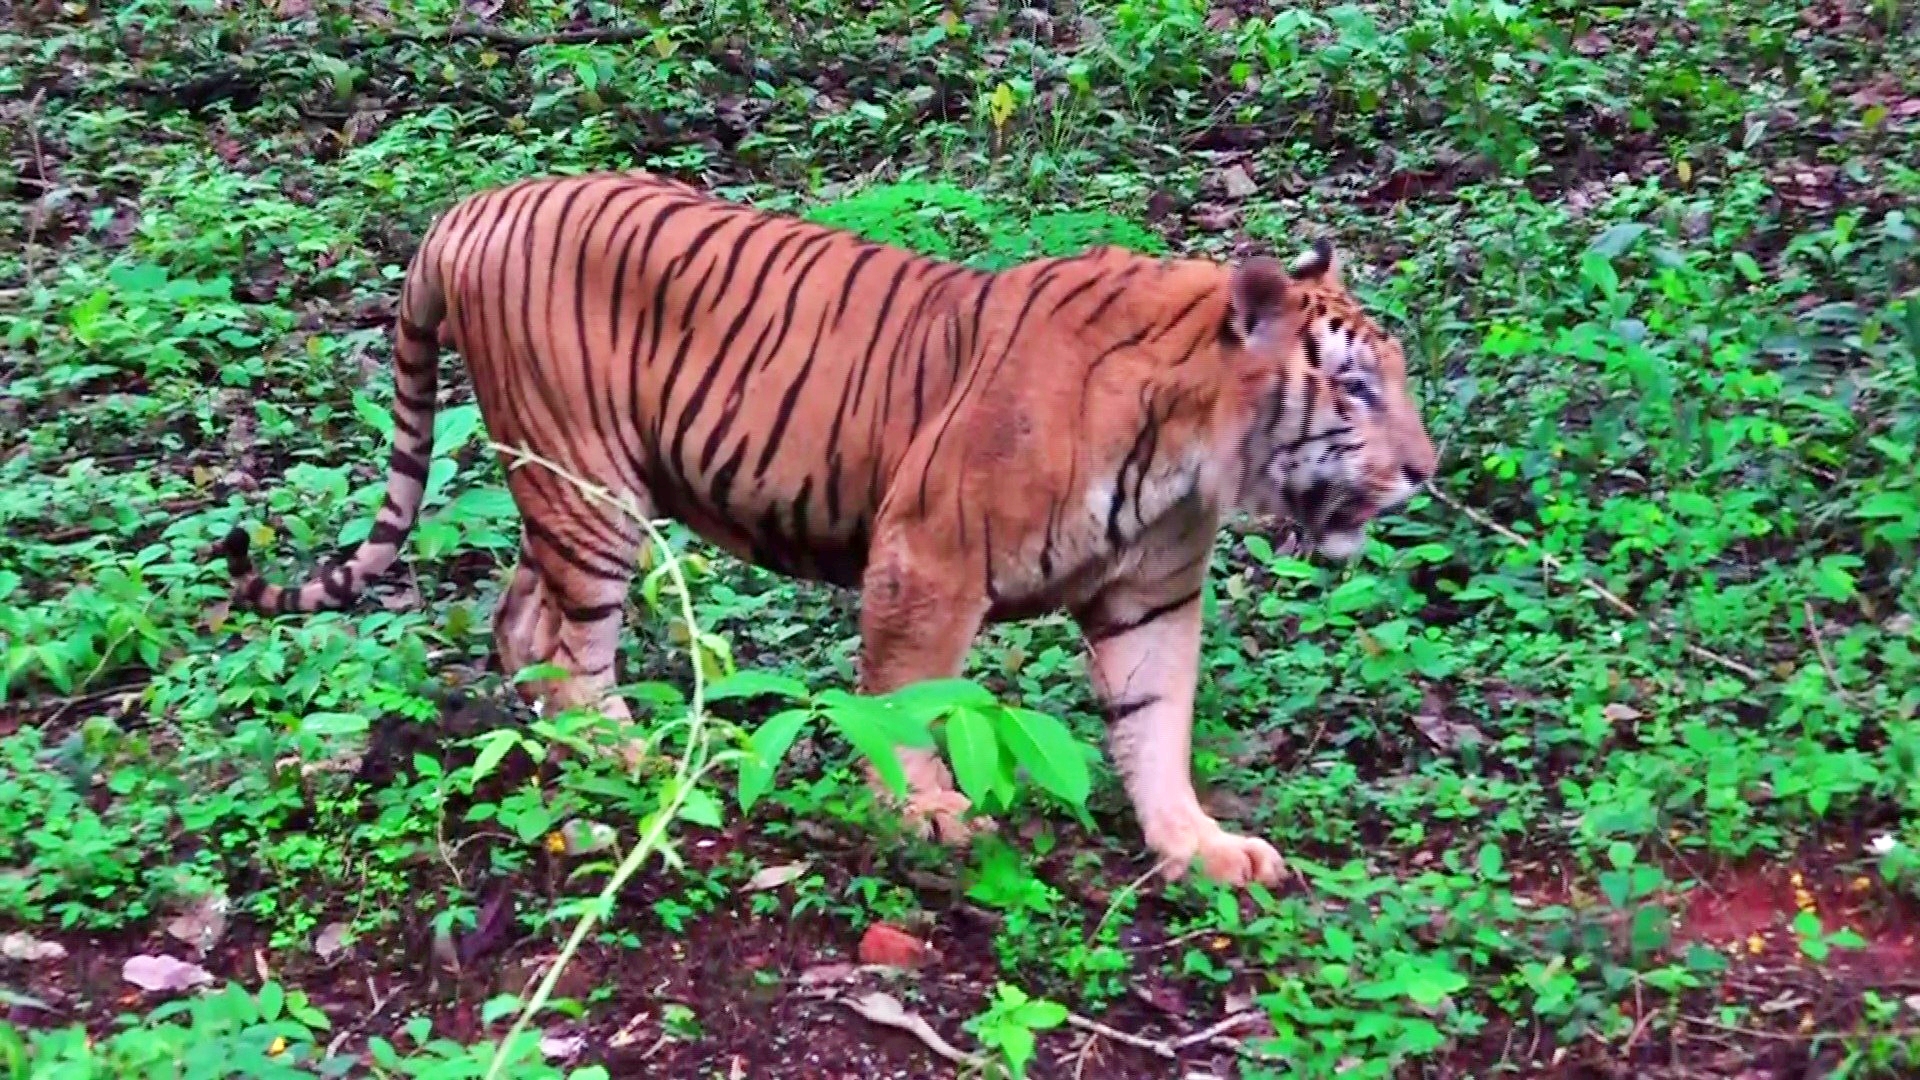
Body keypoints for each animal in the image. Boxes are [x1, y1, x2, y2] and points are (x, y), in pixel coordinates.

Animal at [217, 170, 1436, 883]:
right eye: (1356, 389)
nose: (1428, 471)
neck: (1194, 452)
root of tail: (466, 211)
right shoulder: (928, 560)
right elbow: (903, 703)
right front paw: (928, 816)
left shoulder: (1153, 596)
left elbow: (1157, 726)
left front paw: (1201, 847)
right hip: (590, 488)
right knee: (574, 652)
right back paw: (632, 753)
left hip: (567, 482)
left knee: (525, 622)